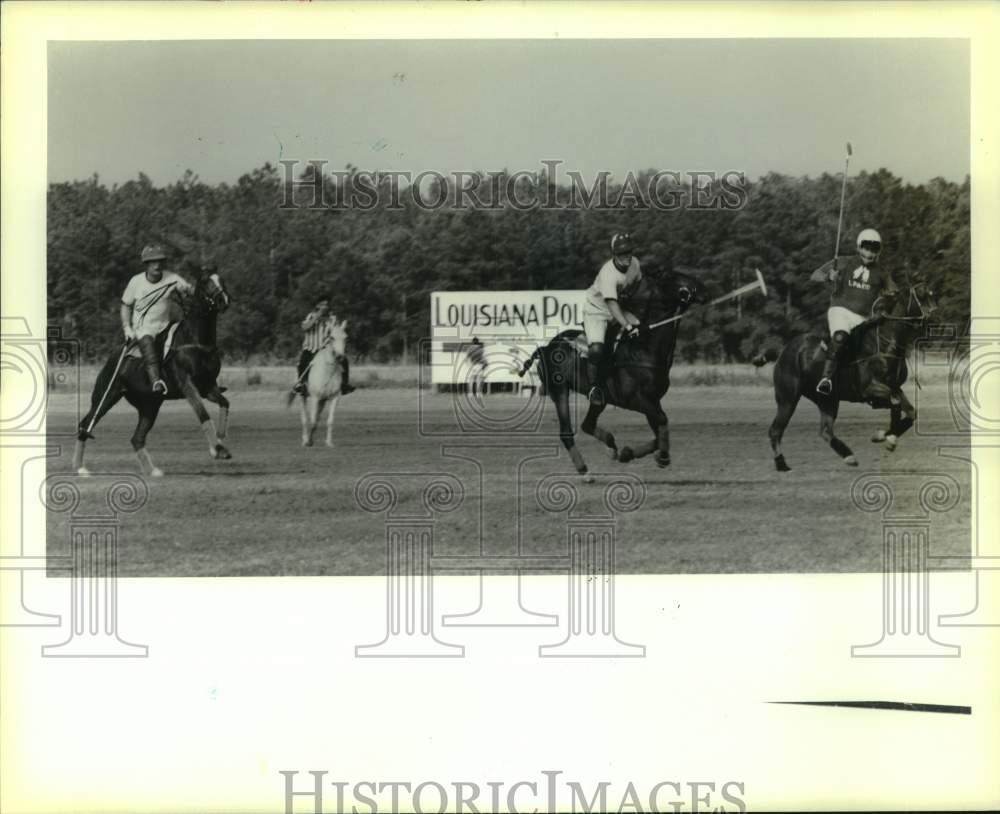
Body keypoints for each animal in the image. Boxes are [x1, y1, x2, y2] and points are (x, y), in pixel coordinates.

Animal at [73, 266, 232, 478]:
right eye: (206, 282)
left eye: (222, 280)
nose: (224, 300)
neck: (198, 342)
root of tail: (114, 357)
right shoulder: (187, 384)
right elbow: (202, 413)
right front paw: (218, 450)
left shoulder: (208, 386)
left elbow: (225, 402)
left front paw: (221, 438)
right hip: (106, 395)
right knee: (86, 424)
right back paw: (80, 468)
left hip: (150, 405)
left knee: (137, 438)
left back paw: (152, 470)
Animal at [296, 318, 348, 450]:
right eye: (331, 337)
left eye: (346, 337)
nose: (340, 356)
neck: (328, 369)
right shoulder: (315, 397)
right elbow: (312, 420)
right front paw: (308, 442)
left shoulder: (334, 397)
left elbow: (329, 420)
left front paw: (329, 442)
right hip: (303, 396)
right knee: (304, 418)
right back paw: (304, 440)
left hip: (323, 400)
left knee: (317, 418)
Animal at [520, 270, 708, 482]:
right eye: (673, 278)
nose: (704, 291)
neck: (644, 347)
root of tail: (545, 347)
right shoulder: (636, 400)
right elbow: (662, 420)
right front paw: (663, 458)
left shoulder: (653, 400)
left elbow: (659, 430)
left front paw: (629, 453)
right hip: (559, 390)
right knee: (566, 432)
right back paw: (585, 472)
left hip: (599, 400)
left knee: (587, 424)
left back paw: (611, 447)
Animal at [756, 272, 936, 472]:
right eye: (921, 293)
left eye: (932, 292)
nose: (934, 314)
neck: (885, 345)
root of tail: (784, 350)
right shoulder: (870, 389)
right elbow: (897, 405)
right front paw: (887, 437)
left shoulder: (893, 389)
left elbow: (910, 411)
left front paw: (886, 436)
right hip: (787, 398)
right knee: (776, 430)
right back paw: (781, 464)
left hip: (827, 401)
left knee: (825, 431)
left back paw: (848, 456)